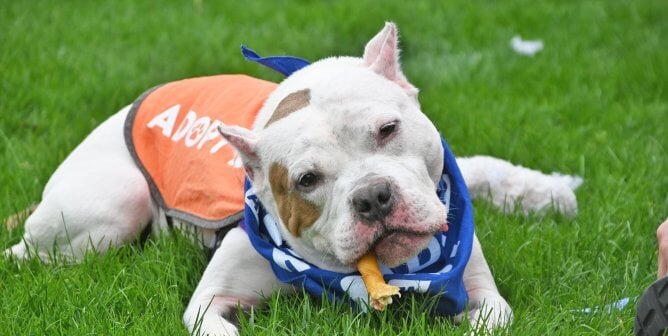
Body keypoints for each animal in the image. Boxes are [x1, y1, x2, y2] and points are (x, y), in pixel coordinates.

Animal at [3, 22, 580, 334]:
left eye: (388, 129)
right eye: (306, 180)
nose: (373, 197)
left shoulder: (482, 293)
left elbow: (489, 317)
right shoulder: (211, 300)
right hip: (115, 206)